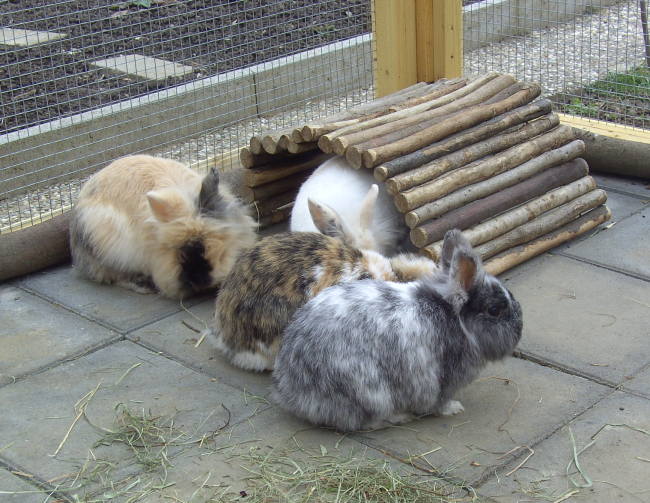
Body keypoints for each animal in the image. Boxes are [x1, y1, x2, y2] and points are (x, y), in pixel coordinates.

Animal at [69, 155, 257, 299]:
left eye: (215, 247)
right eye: (180, 254)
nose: (200, 282)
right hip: (106, 242)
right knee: (111, 274)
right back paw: (144, 285)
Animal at [272, 229, 523, 432]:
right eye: (494, 310)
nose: (519, 328)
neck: (455, 320)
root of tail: (292, 392)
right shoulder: (441, 380)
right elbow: (439, 401)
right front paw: (454, 408)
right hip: (371, 391)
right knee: (364, 422)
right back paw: (400, 417)